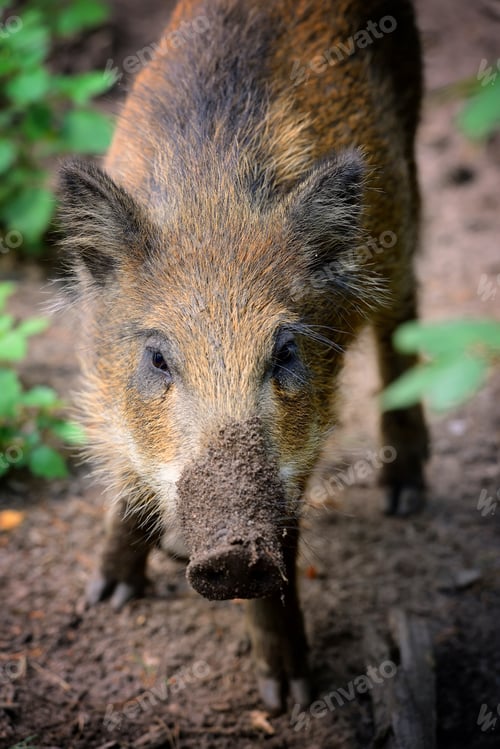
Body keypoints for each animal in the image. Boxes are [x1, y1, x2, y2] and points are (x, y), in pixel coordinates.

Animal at [59, 0, 429, 712]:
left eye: (284, 351)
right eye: (157, 358)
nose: (230, 554)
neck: (213, 205)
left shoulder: (303, 438)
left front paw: (291, 698)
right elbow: (123, 473)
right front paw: (106, 597)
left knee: (404, 314)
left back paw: (405, 498)